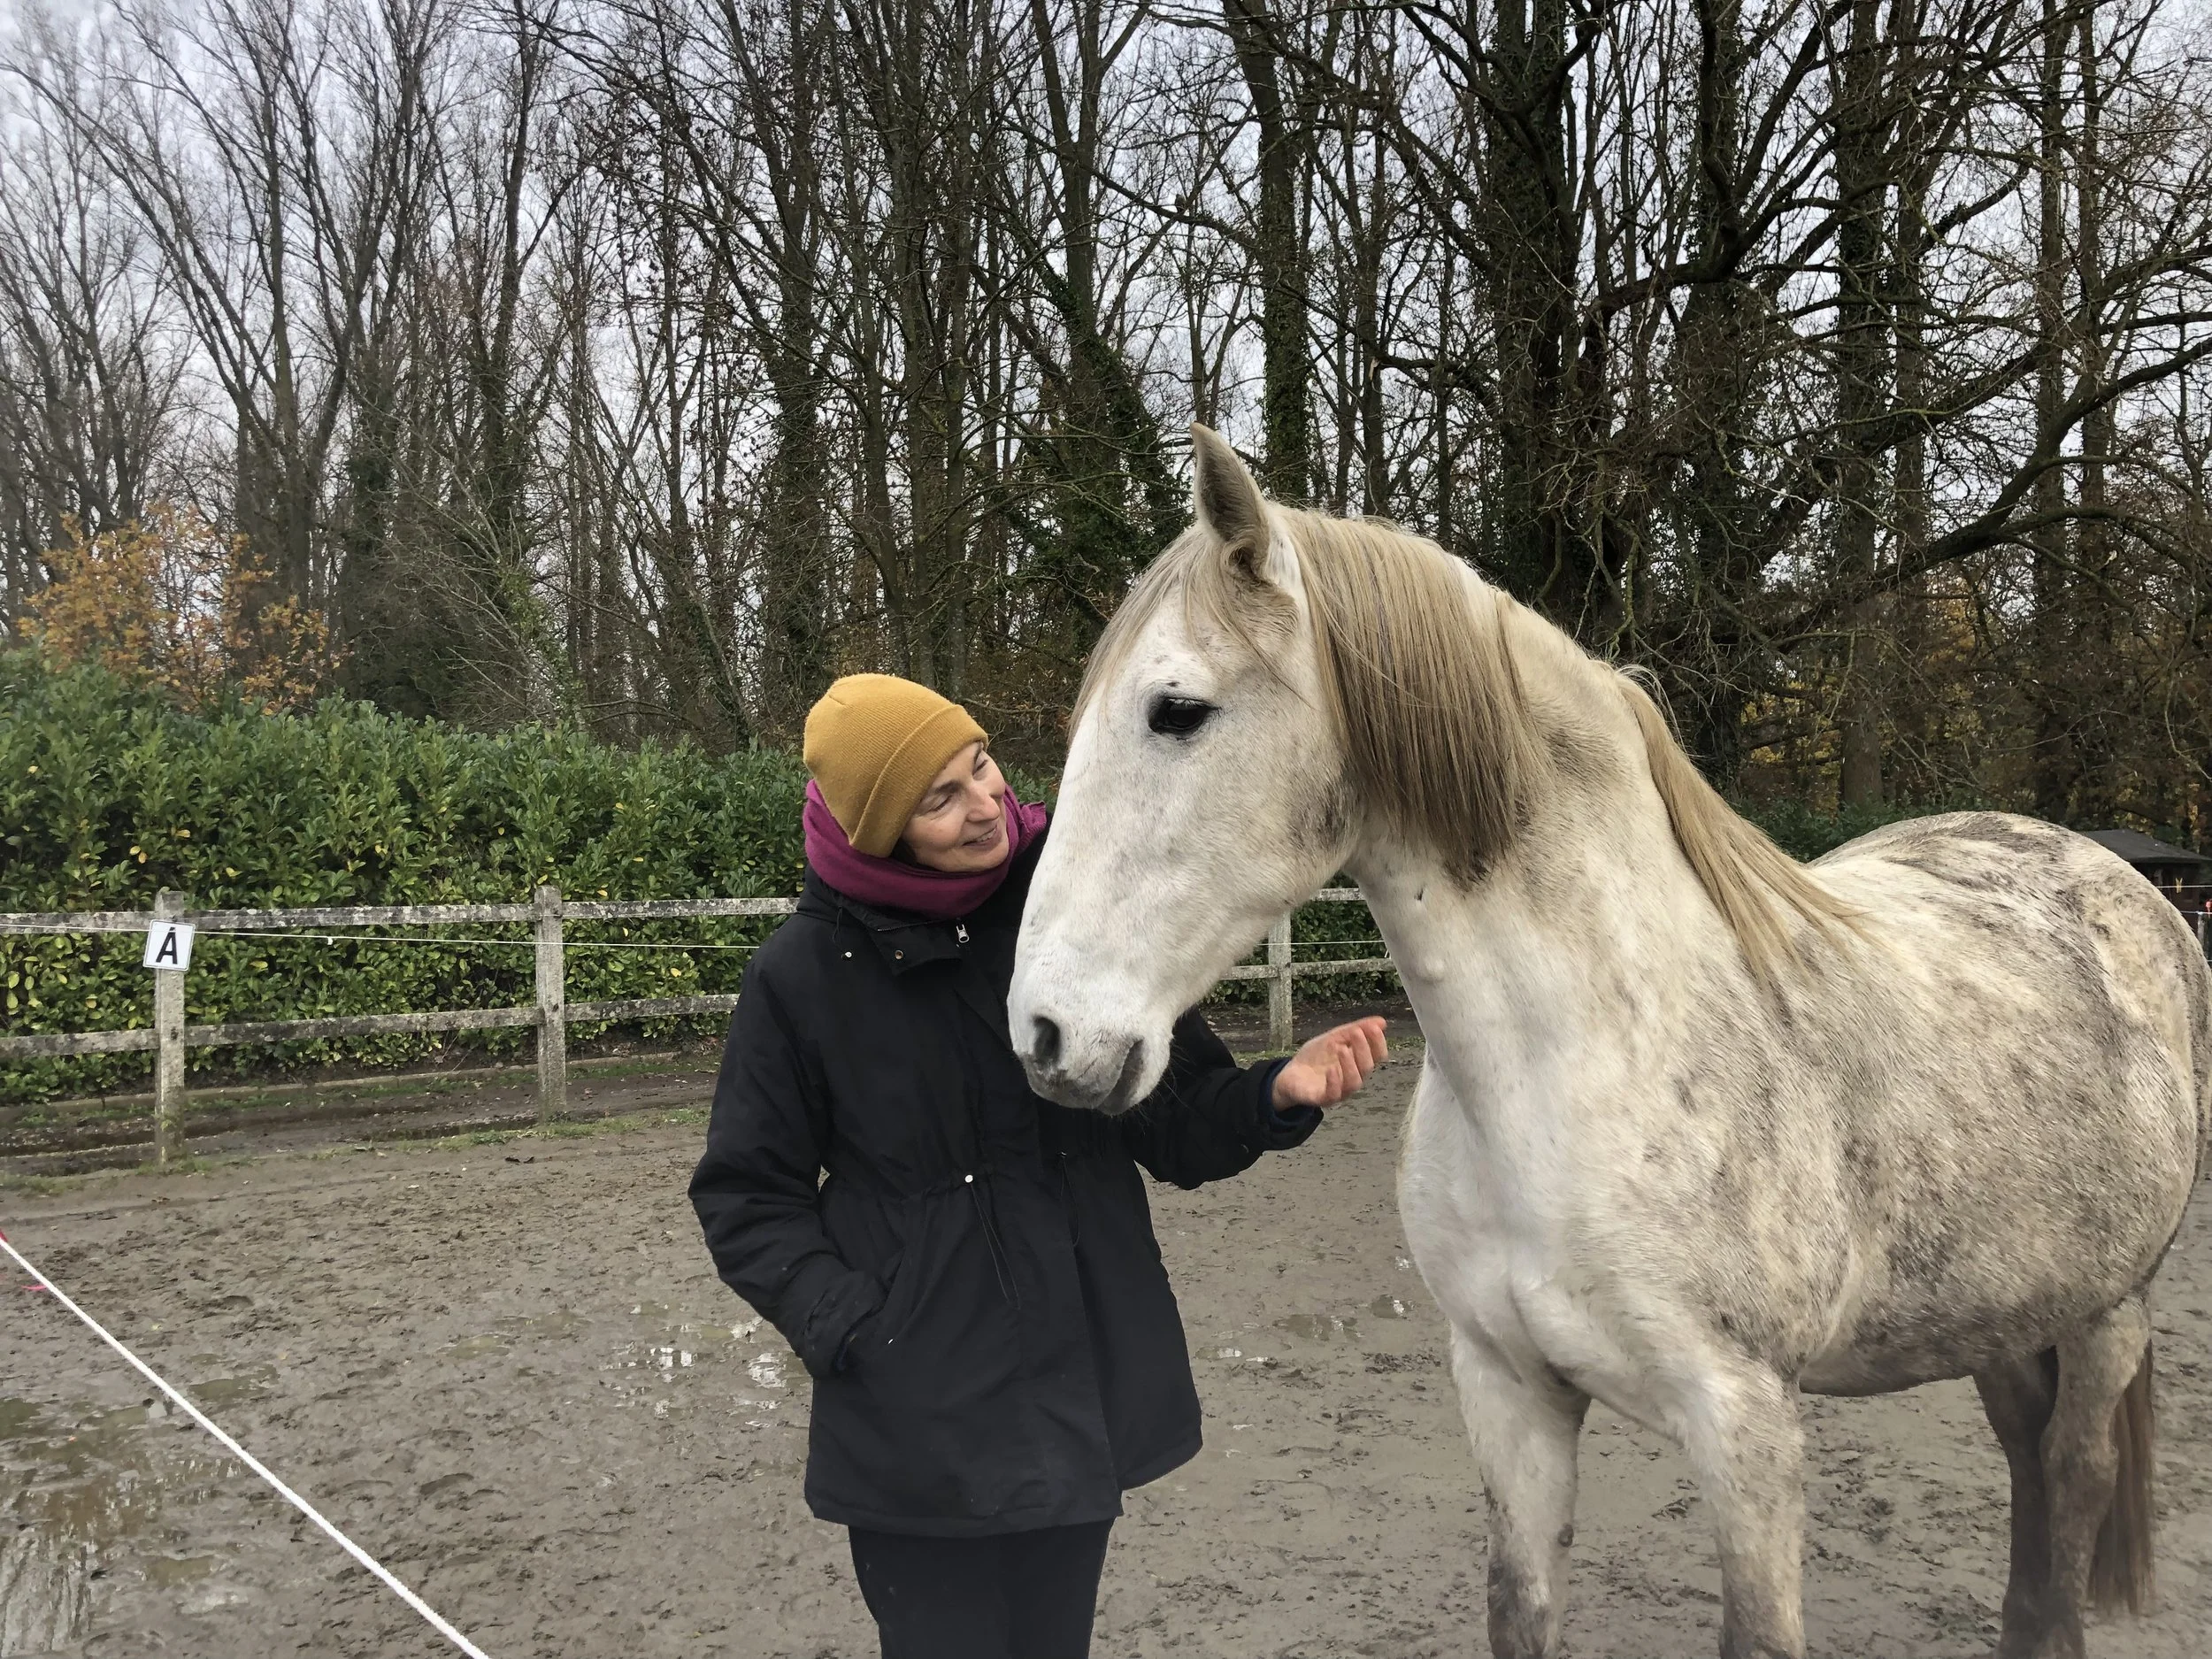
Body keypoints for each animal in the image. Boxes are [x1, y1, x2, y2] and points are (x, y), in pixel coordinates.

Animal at [1006, 424, 2209, 1659]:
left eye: (1177, 709)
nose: (1044, 1033)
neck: (1576, 1073)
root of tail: (2120, 882)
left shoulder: (1747, 1427)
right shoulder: (1508, 1391)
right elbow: (1521, 1609)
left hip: (2110, 1311)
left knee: (2070, 1480)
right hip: (2002, 1314)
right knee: (2026, 1461)